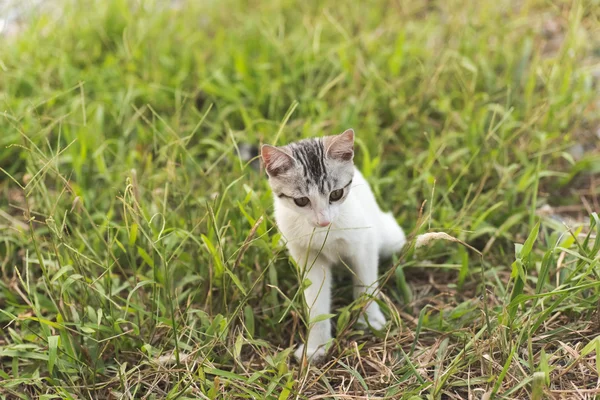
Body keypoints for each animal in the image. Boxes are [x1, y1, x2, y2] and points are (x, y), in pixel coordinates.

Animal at [260, 129, 406, 362]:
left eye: (336, 194)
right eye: (301, 201)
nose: (323, 221)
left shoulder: (365, 245)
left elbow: (366, 284)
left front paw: (370, 320)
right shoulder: (309, 258)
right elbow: (316, 303)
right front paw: (316, 347)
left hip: (392, 237)